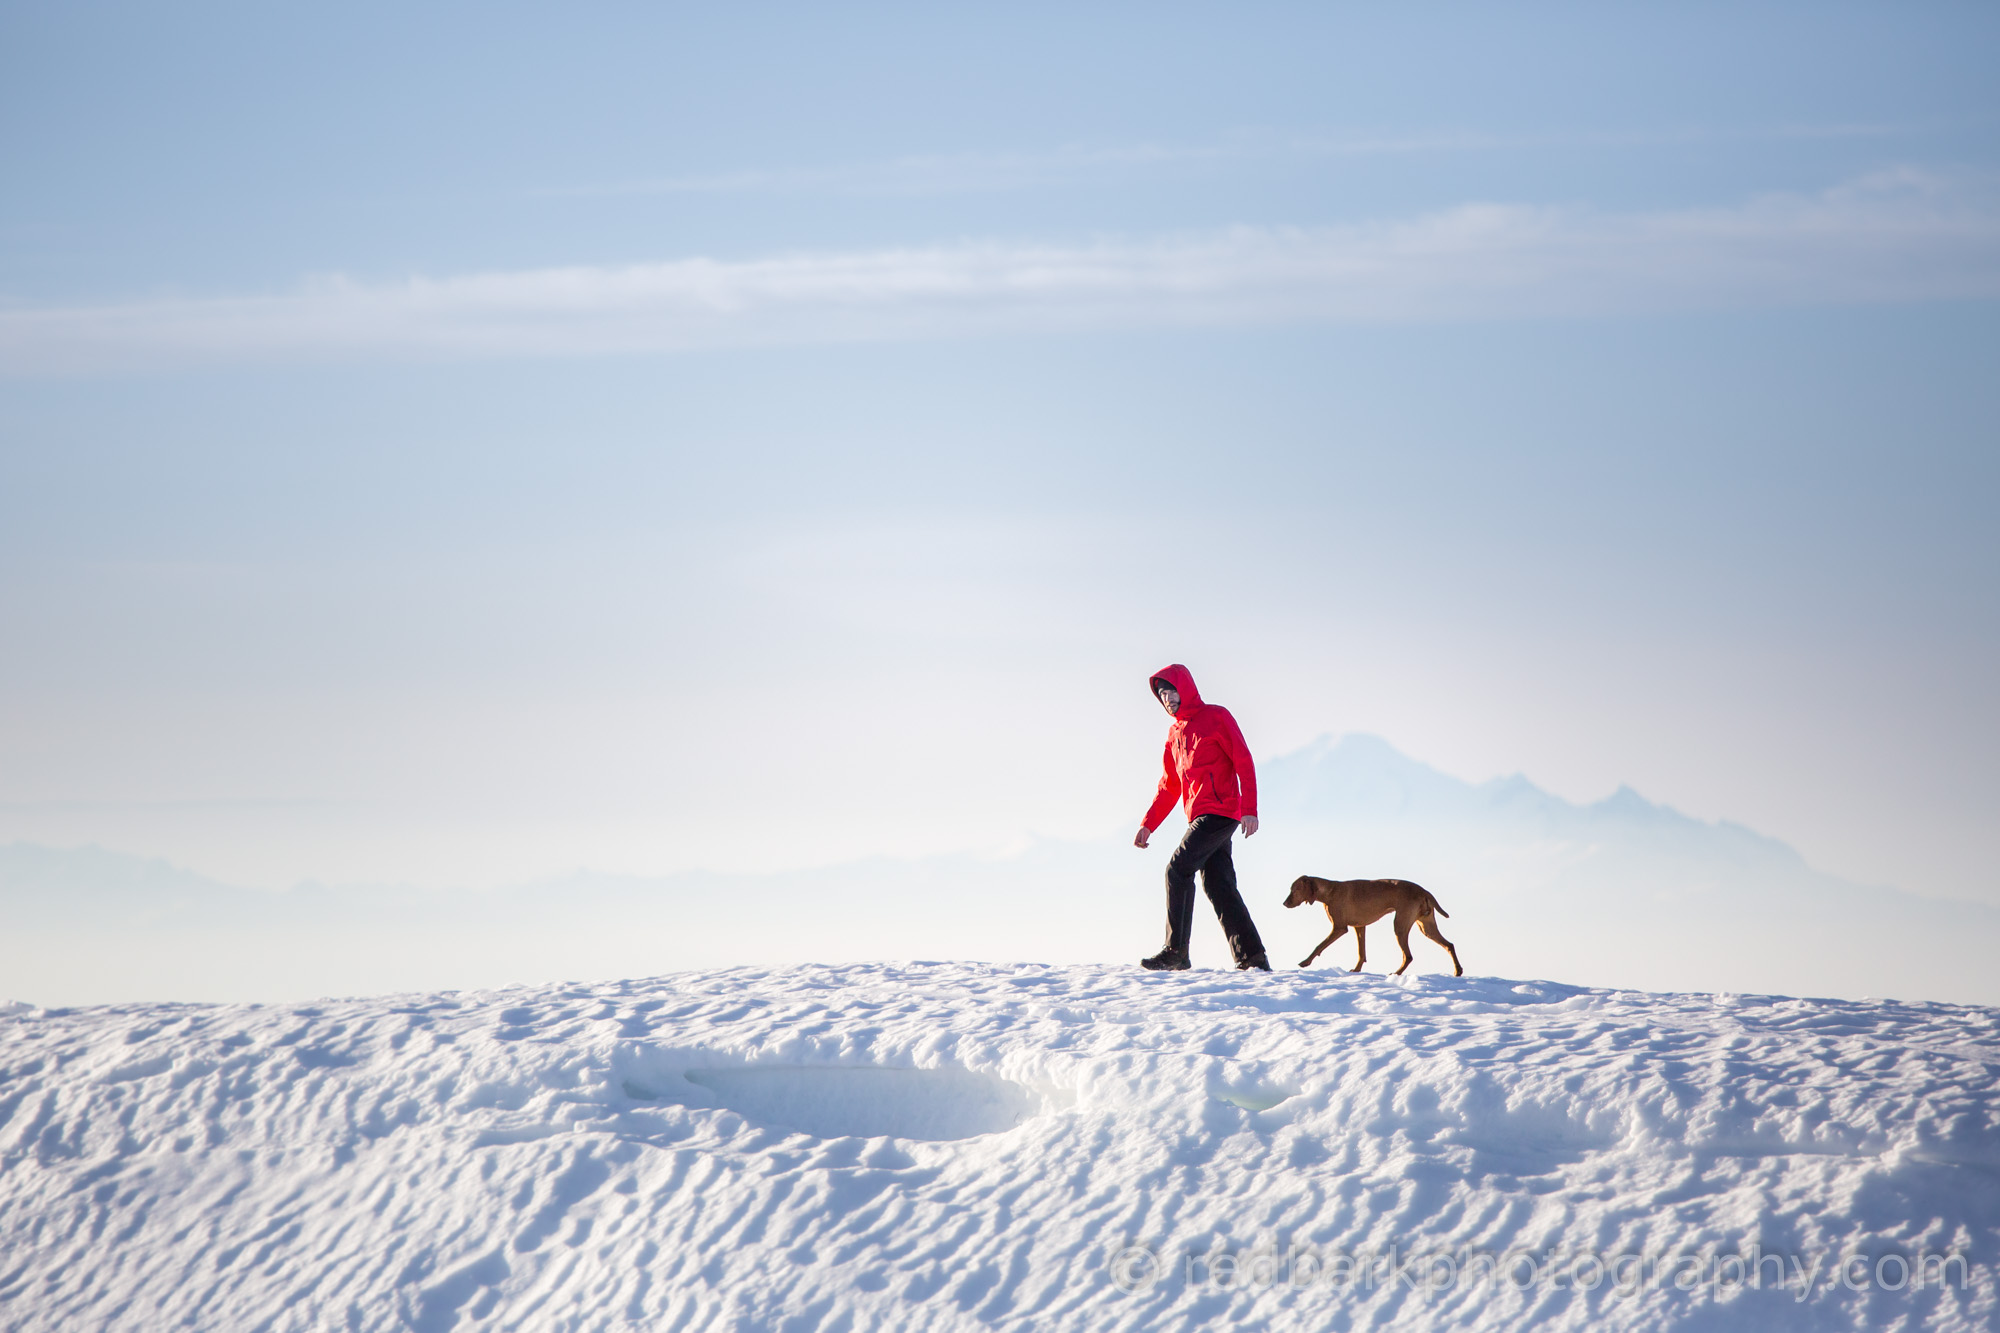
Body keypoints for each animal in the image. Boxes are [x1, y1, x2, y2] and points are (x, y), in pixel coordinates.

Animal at [1288, 876, 1464, 972]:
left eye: (1294, 890)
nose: (1284, 903)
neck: (1330, 891)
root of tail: (1424, 891)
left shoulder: (1339, 928)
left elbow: (1319, 946)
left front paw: (1306, 962)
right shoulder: (1359, 927)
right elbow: (1361, 952)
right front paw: (1357, 970)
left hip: (1400, 926)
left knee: (1408, 956)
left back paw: (1396, 973)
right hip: (1427, 927)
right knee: (1449, 945)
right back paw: (1458, 971)